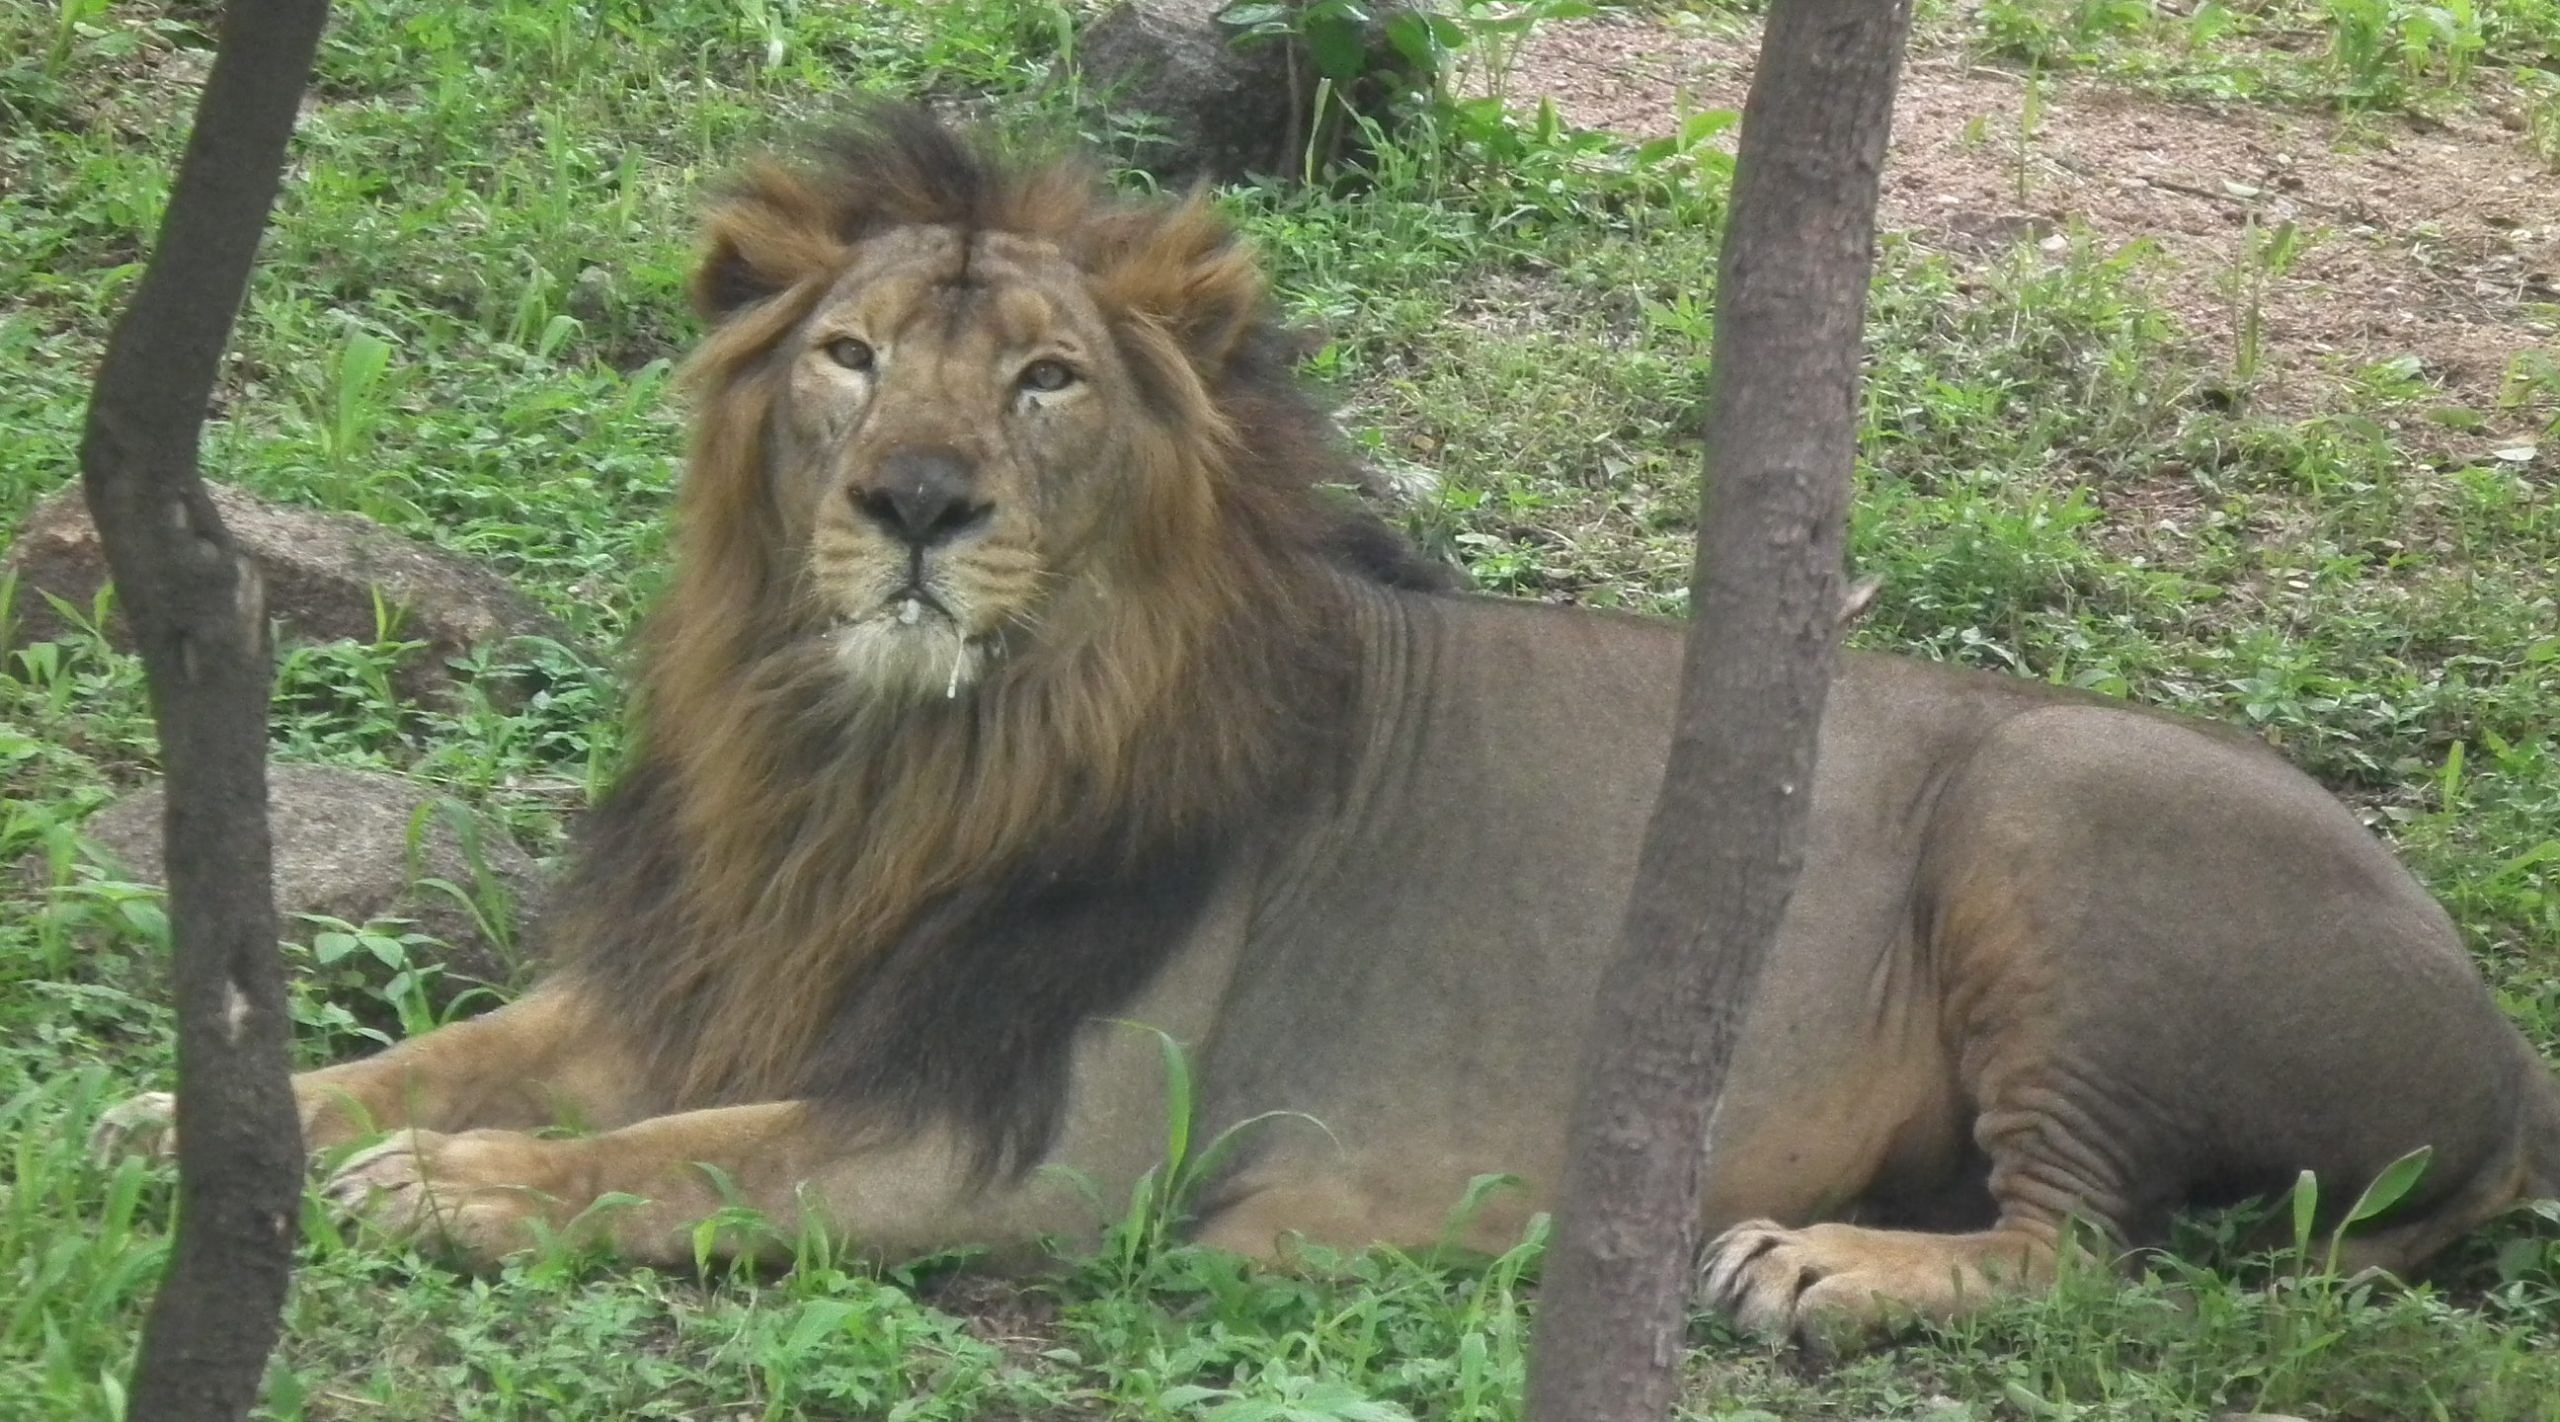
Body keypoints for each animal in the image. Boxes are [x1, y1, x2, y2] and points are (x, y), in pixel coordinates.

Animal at [99, 105, 2560, 1342]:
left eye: (1044, 381)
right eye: (848, 357)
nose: (916, 503)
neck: (875, 767)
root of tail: (2504, 1056)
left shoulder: (1039, 1135)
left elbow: (681, 1163)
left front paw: (450, 1192)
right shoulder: (721, 973)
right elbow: (467, 1051)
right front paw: (199, 1115)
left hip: (2057, 809)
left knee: (2081, 1249)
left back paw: (1821, 1265)